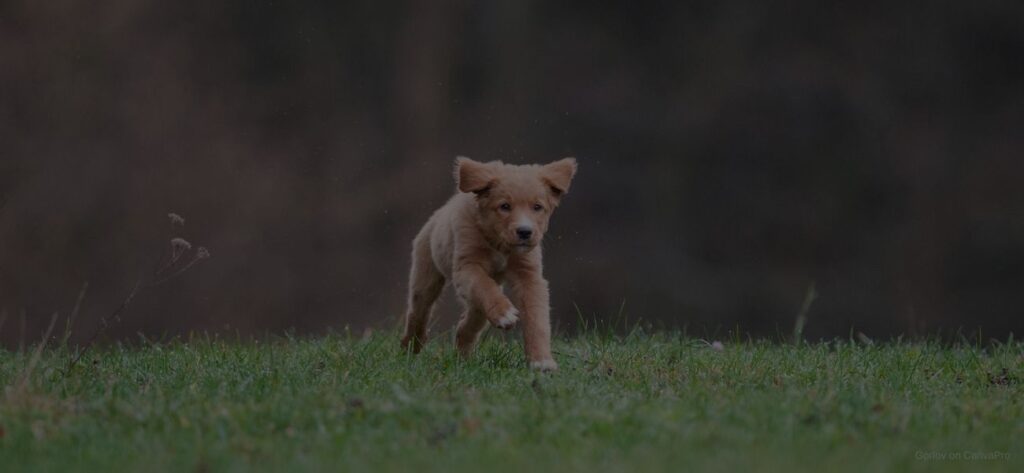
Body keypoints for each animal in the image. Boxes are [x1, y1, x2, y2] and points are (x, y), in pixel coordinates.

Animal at [397, 156, 577, 370]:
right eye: (505, 206)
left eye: (537, 207)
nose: (525, 232)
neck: (499, 245)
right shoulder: (466, 267)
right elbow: (483, 286)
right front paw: (504, 313)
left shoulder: (529, 275)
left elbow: (537, 319)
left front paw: (541, 361)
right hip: (426, 275)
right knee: (419, 312)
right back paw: (410, 348)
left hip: (477, 303)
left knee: (469, 321)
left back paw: (462, 357)